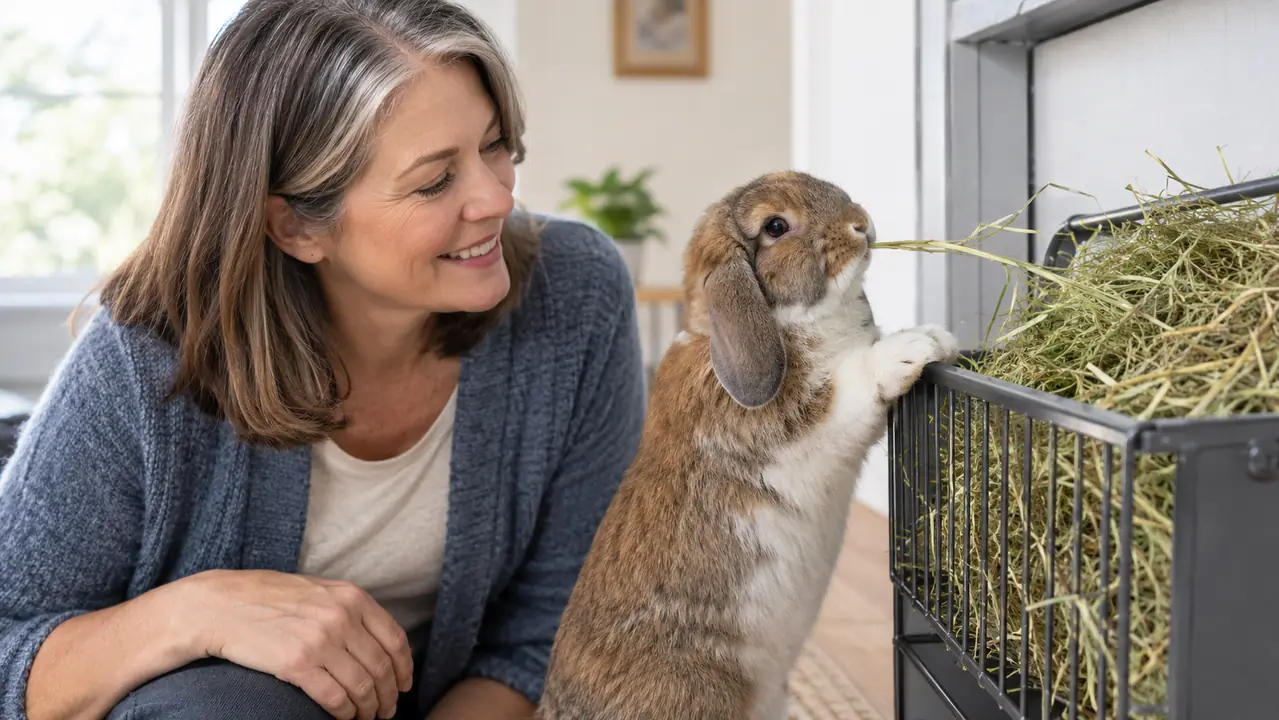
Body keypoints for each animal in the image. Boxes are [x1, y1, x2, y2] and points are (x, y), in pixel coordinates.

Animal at [537, 170, 959, 720]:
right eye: (775, 226)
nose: (860, 223)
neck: (781, 322)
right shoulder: (799, 427)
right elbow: (850, 389)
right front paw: (918, 344)